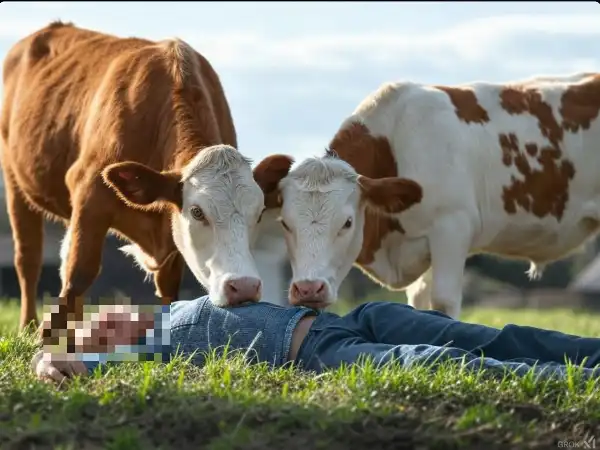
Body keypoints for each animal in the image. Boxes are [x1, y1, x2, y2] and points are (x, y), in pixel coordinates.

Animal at [0, 22, 290, 334]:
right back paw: (28, 325)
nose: (244, 287)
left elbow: (168, 287)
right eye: (197, 212)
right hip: (14, 182)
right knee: (28, 259)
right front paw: (45, 338)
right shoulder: (90, 195)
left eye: (259, 213)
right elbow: (79, 272)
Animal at [274, 73, 600, 316]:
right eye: (285, 223)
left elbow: (442, 302)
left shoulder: (452, 228)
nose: (308, 288)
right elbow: (418, 303)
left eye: (347, 223)